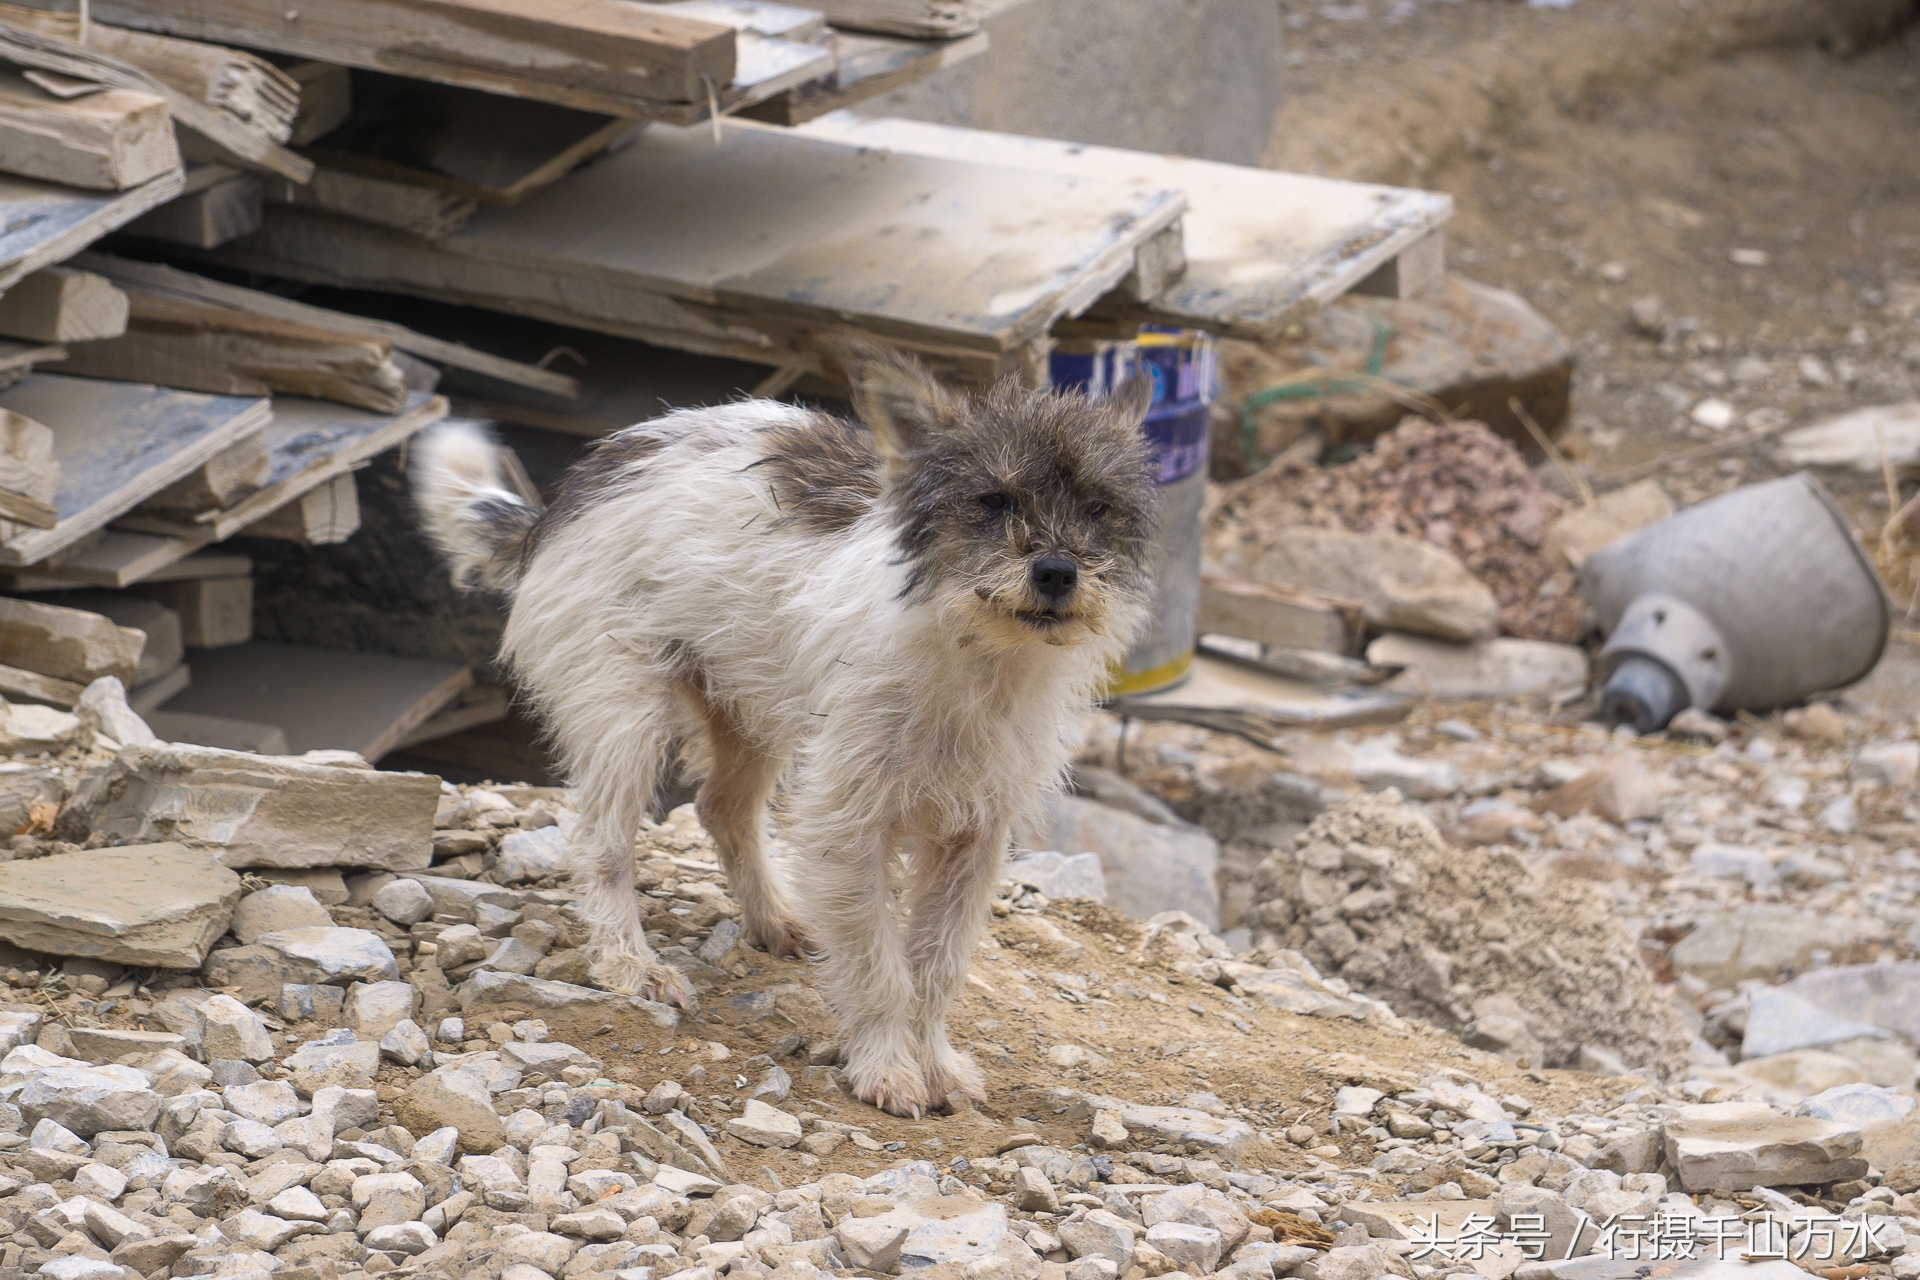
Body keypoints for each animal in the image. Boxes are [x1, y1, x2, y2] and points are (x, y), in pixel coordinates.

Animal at [412, 345, 1152, 1113]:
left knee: (723, 808)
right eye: (993, 501)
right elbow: (880, 964)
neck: (977, 653)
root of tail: (564, 497)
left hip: (749, 707)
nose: (1057, 572)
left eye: (1099, 508)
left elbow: (937, 966)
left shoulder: (974, 836)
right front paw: (887, 1065)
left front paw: (934, 1061)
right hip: (627, 714)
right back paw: (631, 964)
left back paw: (773, 919)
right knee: (600, 842)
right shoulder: (847, 824)